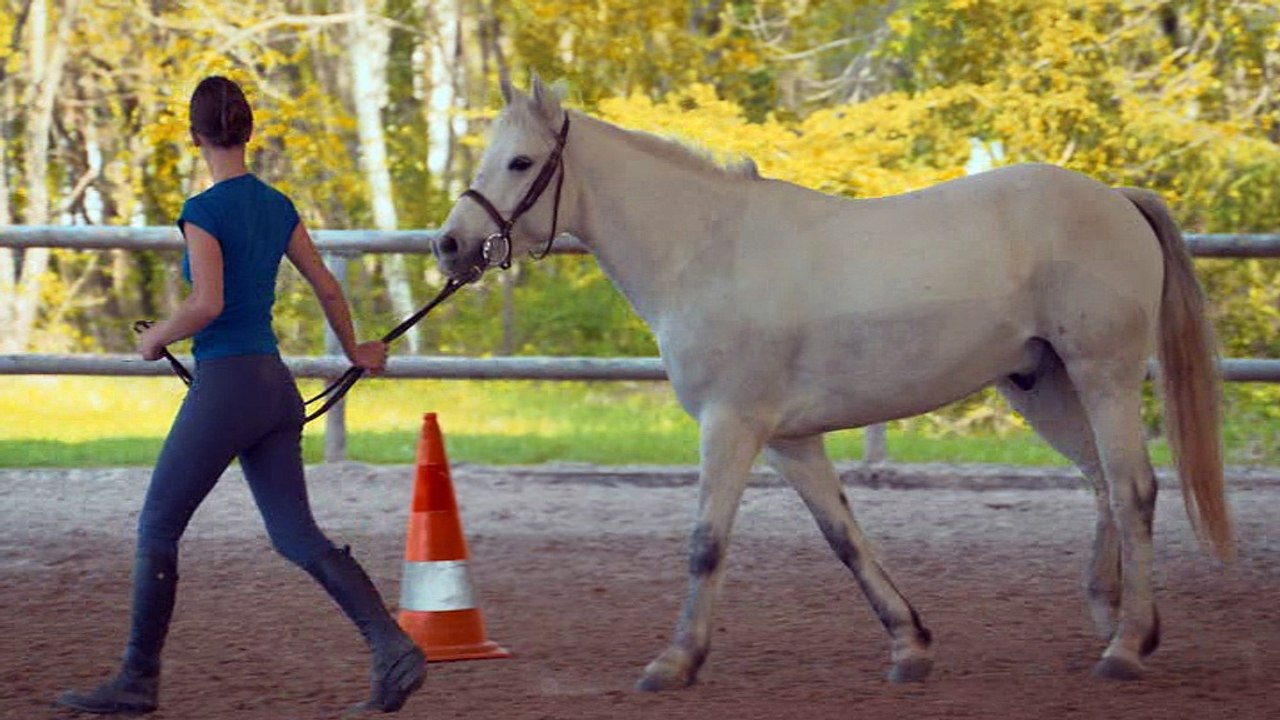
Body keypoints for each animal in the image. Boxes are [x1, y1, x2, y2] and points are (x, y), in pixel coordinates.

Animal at [431, 74, 1236, 689]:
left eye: (520, 162)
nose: (450, 245)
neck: (708, 250)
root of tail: (1117, 197)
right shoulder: (791, 440)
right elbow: (844, 538)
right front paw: (909, 645)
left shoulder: (731, 425)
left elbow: (706, 542)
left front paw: (676, 661)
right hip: (1043, 386)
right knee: (1102, 484)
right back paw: (1117, 618)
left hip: (1104, 376)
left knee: (1132, 490)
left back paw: (1126, 646)